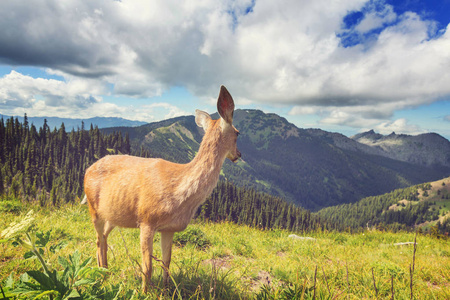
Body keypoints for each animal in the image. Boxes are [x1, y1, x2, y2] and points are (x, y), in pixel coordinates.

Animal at [83, 85, 241, 292]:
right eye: (238, 133)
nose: (239, 154)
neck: (179, 193)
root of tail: (87, 170)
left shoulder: (169, 229)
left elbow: (167, 262)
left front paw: (166, 290)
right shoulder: (146, 219)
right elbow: (147, 265)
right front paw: (144, 291)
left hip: (112, 214)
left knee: (102, 238)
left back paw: (105, 270)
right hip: (93, 208)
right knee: (98, 239)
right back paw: (101, 274)